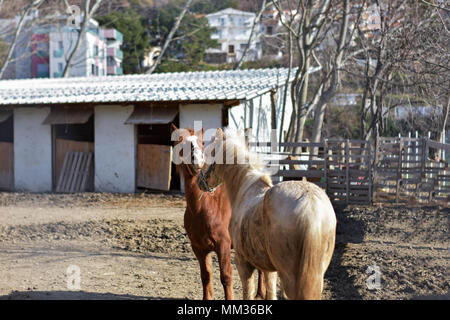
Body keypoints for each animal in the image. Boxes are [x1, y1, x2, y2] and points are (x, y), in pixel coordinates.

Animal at [171, 125, 266, 300]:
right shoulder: (199, 248)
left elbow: (226, 277)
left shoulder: (223, 245)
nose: (198, 160)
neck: (204, 209)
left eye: (202, 142)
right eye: (182, 143)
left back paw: (260, 294)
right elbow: (205, 275)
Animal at [198, 128, 338, 300]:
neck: (246, 188)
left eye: (209, 154)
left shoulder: (242, 263)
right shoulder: (270, 269)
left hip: (290, 277)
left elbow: (248, 293)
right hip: (317, 275)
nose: (199, 181)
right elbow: (270, 293)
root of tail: (309, 204)